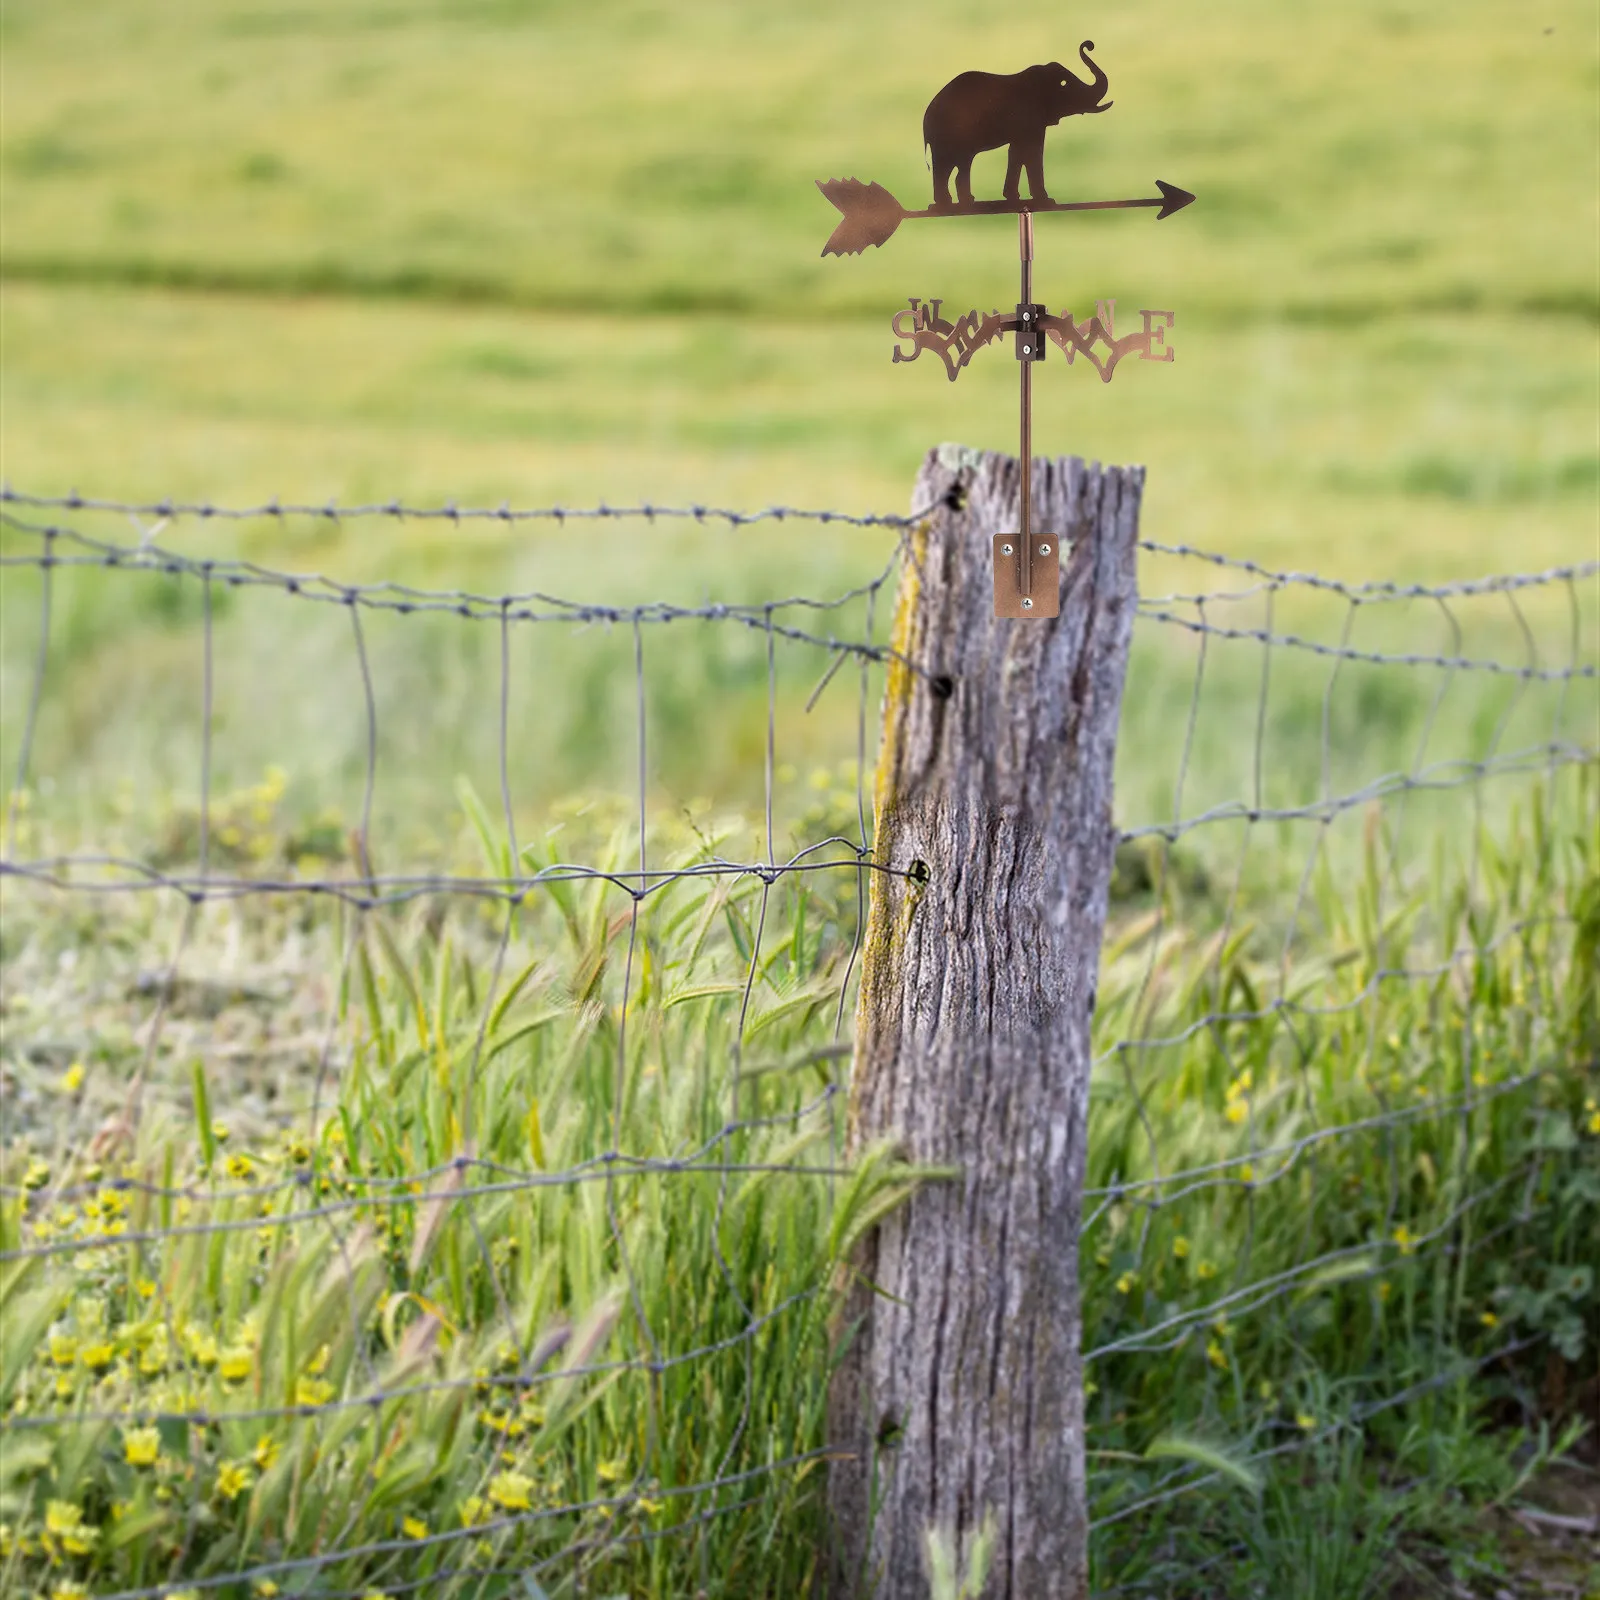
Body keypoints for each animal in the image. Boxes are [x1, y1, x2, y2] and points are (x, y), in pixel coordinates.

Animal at [922, 43, 1111, 207]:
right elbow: (1030, 152)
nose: (1089, 45)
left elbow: (1017, 153)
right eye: (1064, 83)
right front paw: (1045, 200)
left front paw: (1014, 197)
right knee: (948, 165)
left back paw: (959, 202)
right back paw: (950, 203)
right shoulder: (1030, 119)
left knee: (956, 165)